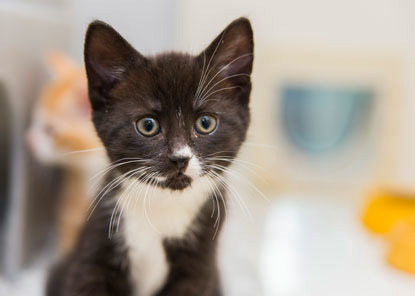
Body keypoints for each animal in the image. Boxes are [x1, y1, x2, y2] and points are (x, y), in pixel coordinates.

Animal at [45, 16, 254, 296]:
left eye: (205, 123)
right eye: (148, 125)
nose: (179, 158)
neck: (162, 206)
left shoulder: (199, 268)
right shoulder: (93, 250)